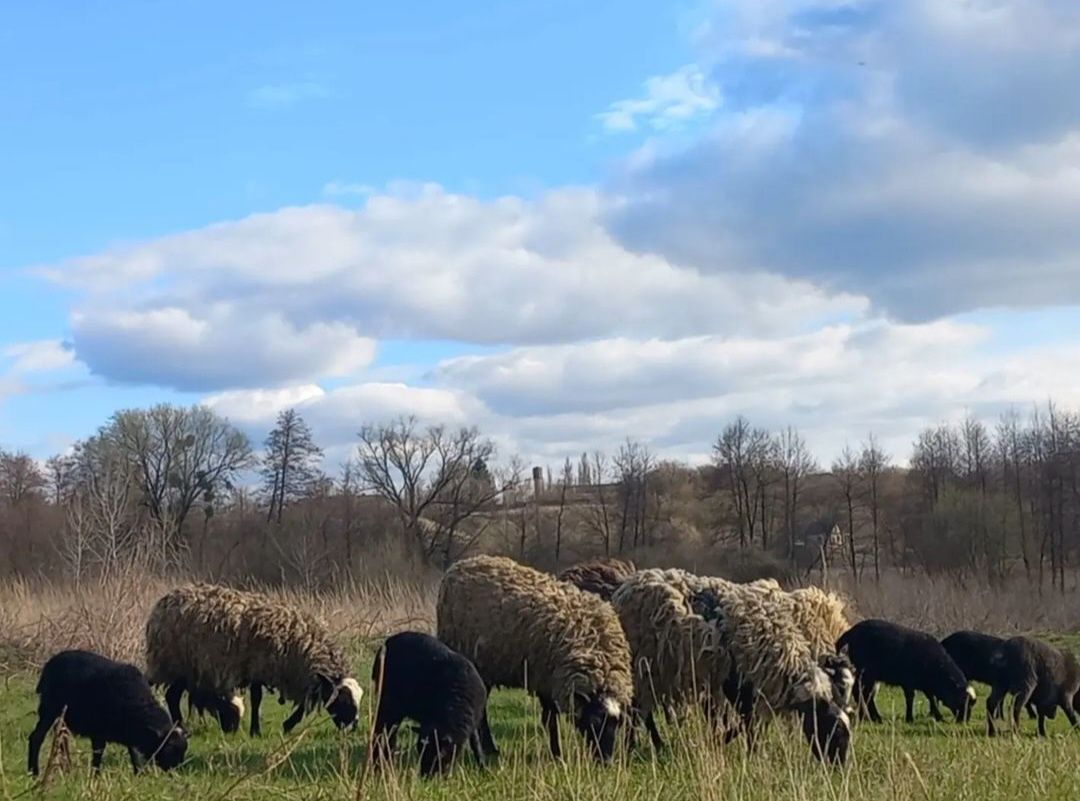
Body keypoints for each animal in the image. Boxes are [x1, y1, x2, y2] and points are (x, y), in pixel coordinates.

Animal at [27, 652, 187, 777]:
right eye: (169, 749)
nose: (175, 774)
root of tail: (49, 665)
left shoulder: (129, 734)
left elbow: (133, 753)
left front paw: (138, 774)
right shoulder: (98, 732)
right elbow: (98, 753)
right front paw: (95, 776)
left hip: (62, 716)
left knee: (61, 738)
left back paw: (67, 769)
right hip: (49, 709)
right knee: (37, 737)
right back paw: (33, 773)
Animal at [145, 582, 362, 738]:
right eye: (343, 700)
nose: (353, 728)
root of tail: (163, 603)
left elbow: (305, 700)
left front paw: (288, 724)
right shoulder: (258, 667)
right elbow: (257, 699)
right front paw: (256, 731)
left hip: (188, 668)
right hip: (175, 663)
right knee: (172, 696)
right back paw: (181, 728)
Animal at [371, 634, 490, 777]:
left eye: (439, 754)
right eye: (420, 750)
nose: (425, 776)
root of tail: (384, 645)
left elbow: (476, 743)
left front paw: (483, 767)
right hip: (388, 705)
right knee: (382, 732)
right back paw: (380, 763)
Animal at [434, 557, 630, 764]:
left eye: (617, 724)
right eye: (594, 722)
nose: (606, 761)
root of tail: (460, 565)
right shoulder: (546, 679)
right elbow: (551, 721)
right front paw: (557, 754)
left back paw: (490, 748)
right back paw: (489, 748)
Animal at [833, 621, 980, 729]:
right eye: (963, 702)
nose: (964, 721)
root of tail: (850, 633)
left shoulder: (925, 684)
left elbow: (931, 698)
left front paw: (938, 716)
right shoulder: (908, 681)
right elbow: (911, 698)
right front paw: (910, 718)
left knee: (864, 693)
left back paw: (868, 717)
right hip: (866, 672)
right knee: (862, 693)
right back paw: (873, 717)